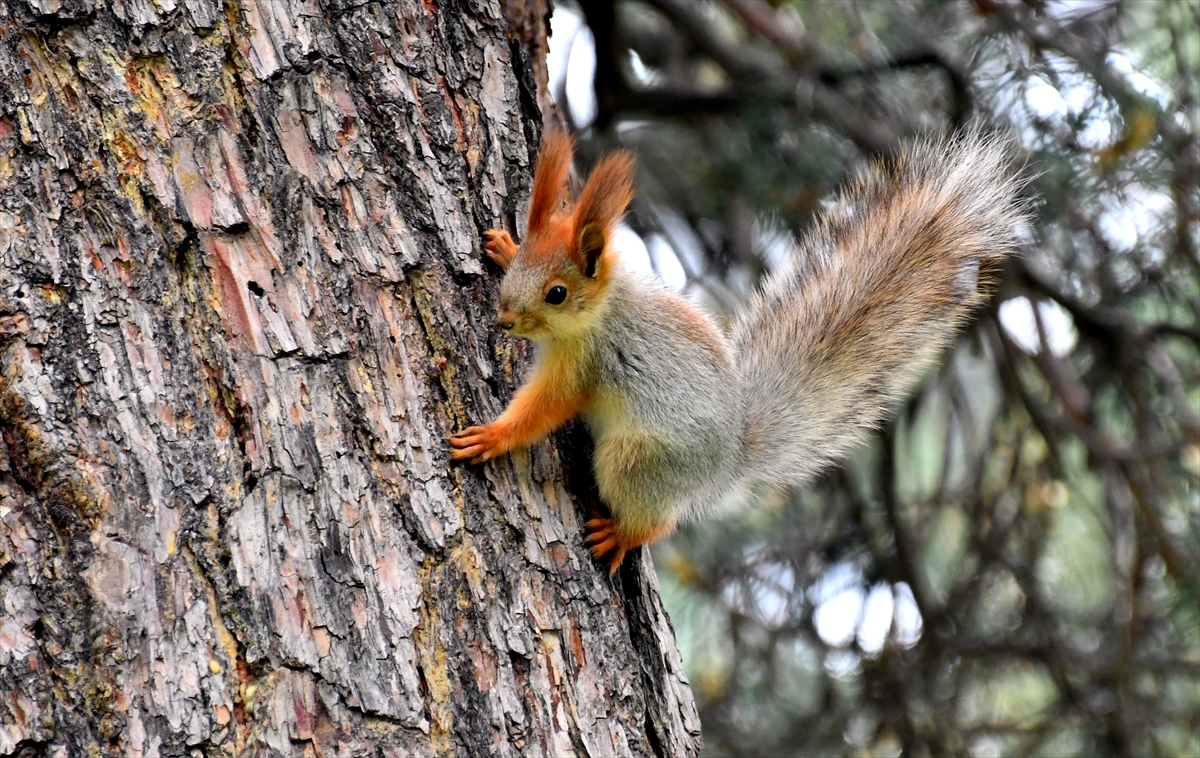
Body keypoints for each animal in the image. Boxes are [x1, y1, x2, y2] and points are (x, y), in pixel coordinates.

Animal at [448, 128, 1022, 573]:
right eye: (527, 257)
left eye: (557, 294)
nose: (505, 318)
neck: (604, 308)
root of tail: (730, 459)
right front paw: (502, 247)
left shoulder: (585, 363)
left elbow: (544, 409)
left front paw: (493, 436)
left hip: (635, 460)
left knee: (659, 521)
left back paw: (623, 534)